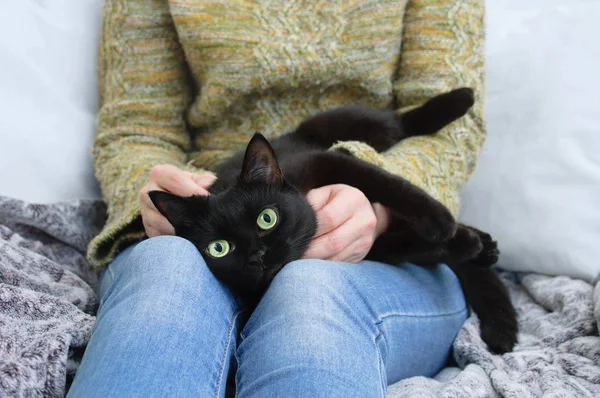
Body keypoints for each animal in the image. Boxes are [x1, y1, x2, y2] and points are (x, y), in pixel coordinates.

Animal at [149, 88, 516, 352]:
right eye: (219, 248)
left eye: (267, 219)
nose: (257, 256)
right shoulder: (378, 248)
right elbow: (418, 246)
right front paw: (464, 241)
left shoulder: (330, 160)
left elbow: (389, 183)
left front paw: (440, 221)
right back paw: (483, 249)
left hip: (343, 124)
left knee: (400, 123)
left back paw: (460, 99)